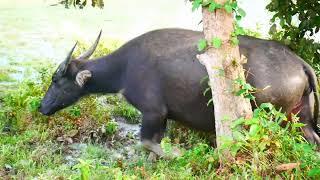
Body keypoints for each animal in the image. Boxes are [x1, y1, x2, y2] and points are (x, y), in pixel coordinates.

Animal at [40, 28, 320, 155]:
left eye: (55, 79)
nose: (42, 107)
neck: (124, 68)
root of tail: (299, 62)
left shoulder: (153, 112)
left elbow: (149, 143)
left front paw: (176, 156)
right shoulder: (163, 117)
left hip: (273, 118)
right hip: (302, 118)